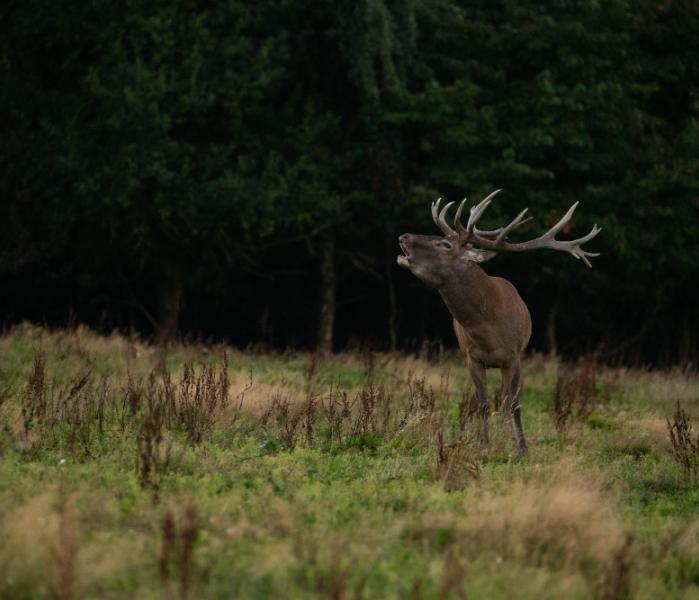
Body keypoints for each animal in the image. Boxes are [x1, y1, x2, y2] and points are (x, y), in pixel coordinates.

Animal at [400, 190, 600, 452]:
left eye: (444, 244)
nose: (403, 236)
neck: (488, 331)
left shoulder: (513, 357)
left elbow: (512, 404)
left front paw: (519, 446)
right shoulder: (472, 358)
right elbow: (483, 402)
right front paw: (483, 444)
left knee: (509, 401)